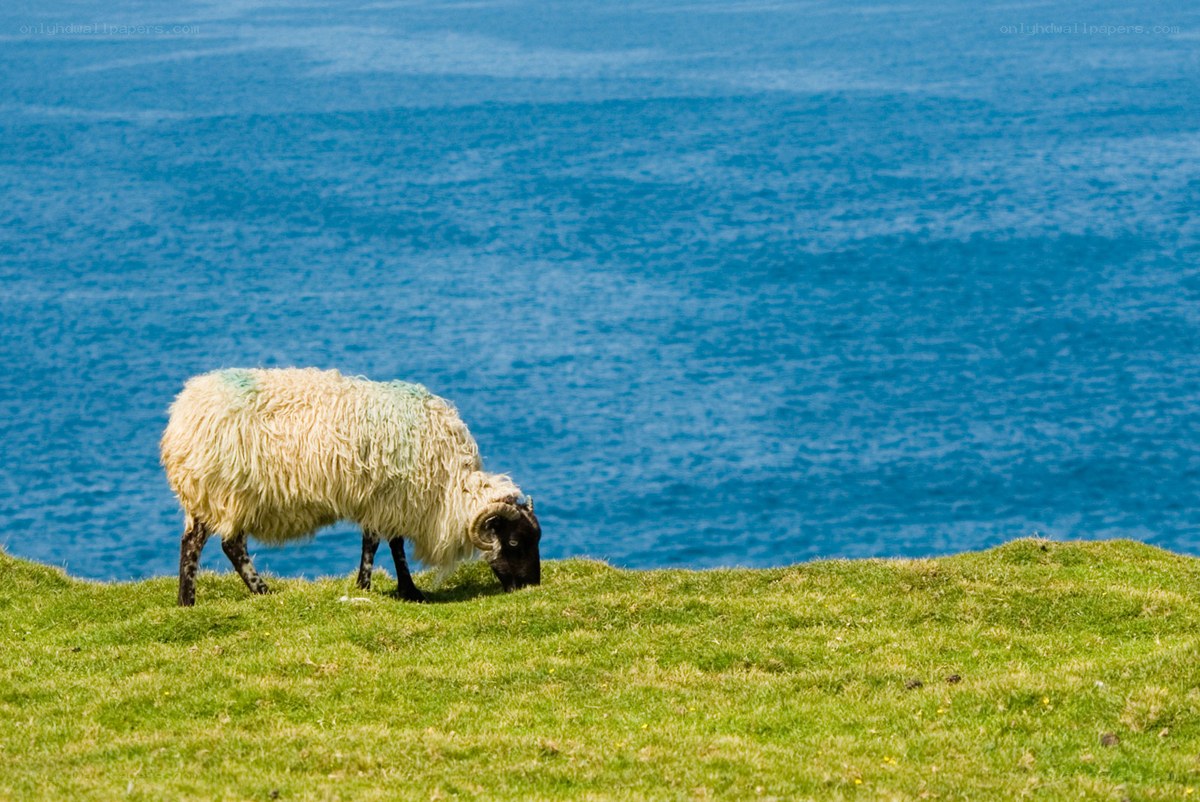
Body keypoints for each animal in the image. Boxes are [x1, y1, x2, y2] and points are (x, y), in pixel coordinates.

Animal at [161, 367, 541, 606]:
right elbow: (385, 544)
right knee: (225, 546)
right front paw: (395, 589)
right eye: (513, 542)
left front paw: (383, 587)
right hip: (227, 493)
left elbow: (379, 542)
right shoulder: (389, 498)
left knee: (197, 543)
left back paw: (187, 601)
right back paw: (257, 593)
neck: (450, 485)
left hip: (208, 496)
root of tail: (182, 416)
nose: (531, 587)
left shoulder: (385, 500)